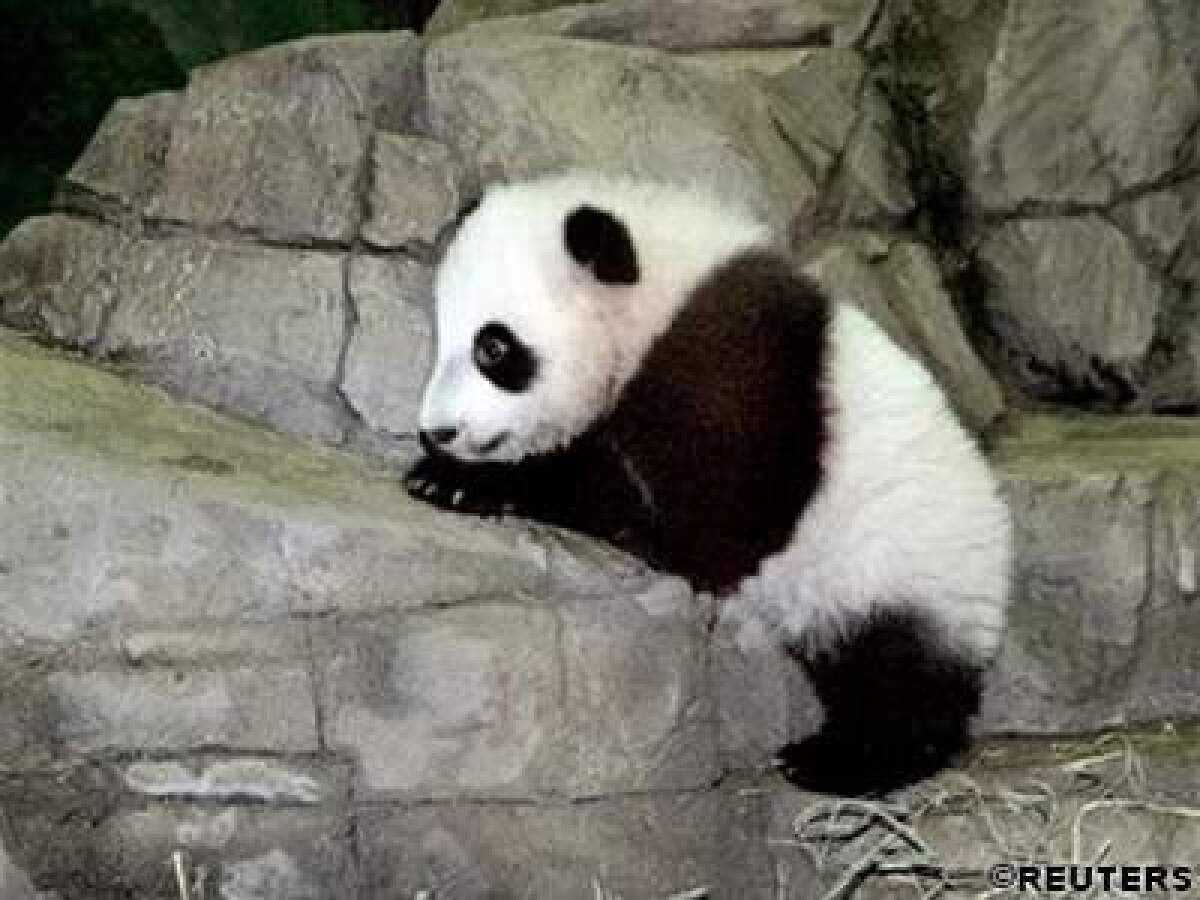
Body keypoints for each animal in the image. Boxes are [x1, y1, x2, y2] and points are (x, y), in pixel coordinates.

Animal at [406, 172, 1011, 797]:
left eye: (493, 347)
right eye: (444, 336)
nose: (438, 431)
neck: (658, 305)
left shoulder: (733, 381)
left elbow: (691, 525)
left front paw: (459, 481)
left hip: (899, 566)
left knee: (895, 675)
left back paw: (843, 759)